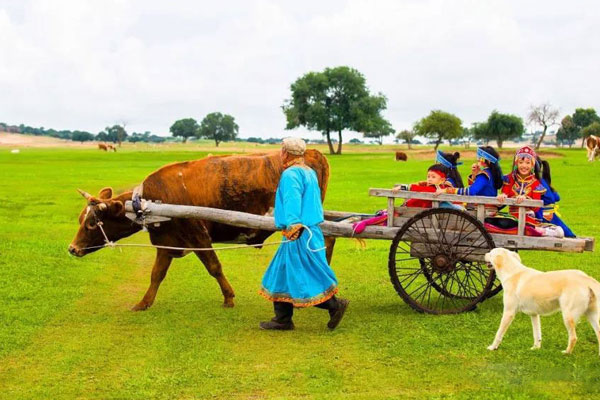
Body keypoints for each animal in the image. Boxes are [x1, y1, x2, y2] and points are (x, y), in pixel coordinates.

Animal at [69, 148, 336, 310]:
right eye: (82, 219)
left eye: (92, 223)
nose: (72, 249)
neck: (149, 202)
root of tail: (313, 152)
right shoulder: (167, 241)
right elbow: (156, 274)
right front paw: (143, 303)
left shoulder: (198, 236)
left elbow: (214, 267)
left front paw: (228, 297)